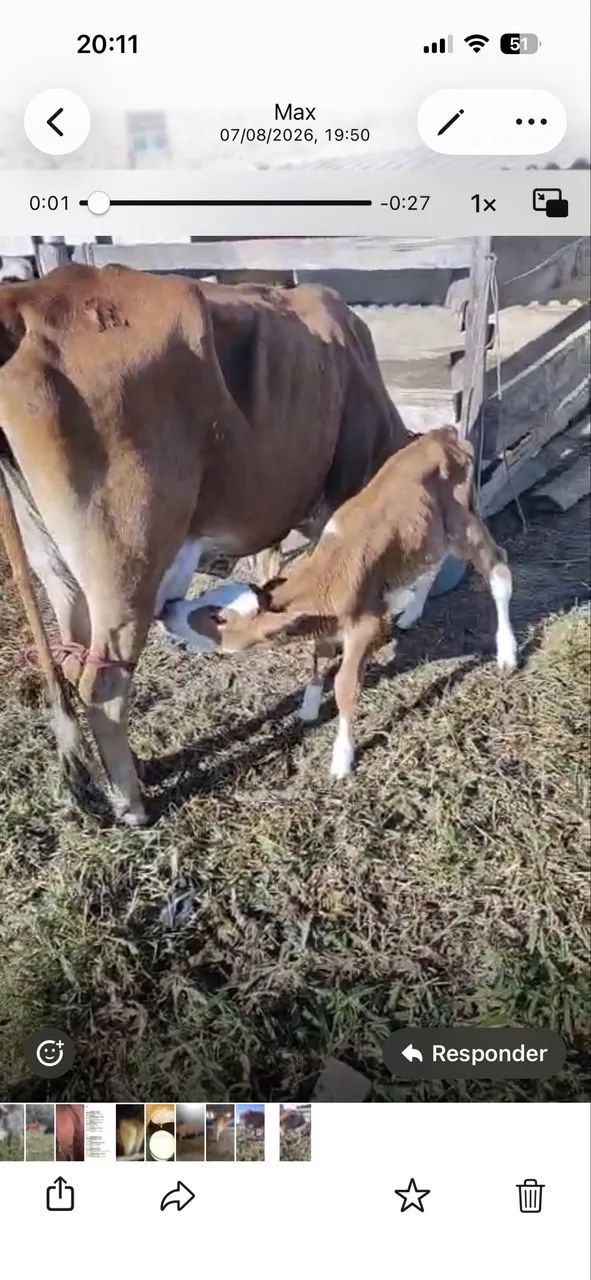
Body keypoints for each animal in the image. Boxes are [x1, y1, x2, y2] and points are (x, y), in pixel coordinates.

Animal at [0, 264, 410, 825]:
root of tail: (30, 296)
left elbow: (271, 560)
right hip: (126, 564)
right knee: (103, 684)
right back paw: (131, 802)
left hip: (55, 566)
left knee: (71, 661)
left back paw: (133, 768)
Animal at [163, 427, 517, 778]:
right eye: (206, 596)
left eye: (218, 618)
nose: (167, 608)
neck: (326, 578)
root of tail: (442, 434)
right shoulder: (326, 621)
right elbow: (319, 659)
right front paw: (308, 706)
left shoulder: (366, 625)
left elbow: (345, 686)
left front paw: (342, 758)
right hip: (428, 536)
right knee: (433, 566)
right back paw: (412, 613)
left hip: (464, 524)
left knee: (499, 569)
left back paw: (507, 652)